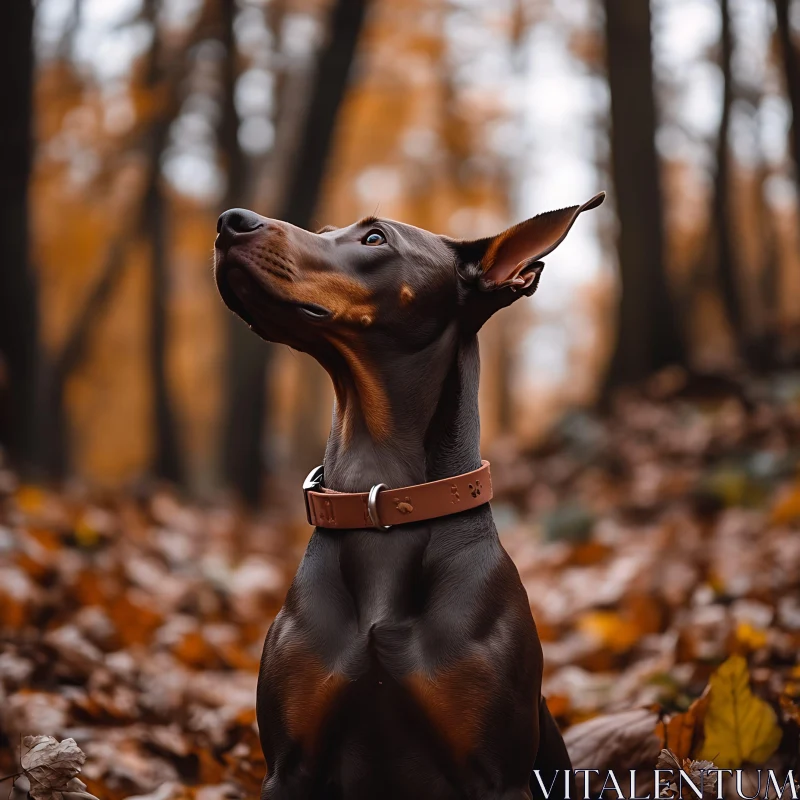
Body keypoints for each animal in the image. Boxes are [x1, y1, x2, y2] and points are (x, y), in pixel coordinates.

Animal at [216, 194, 604, 800]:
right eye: (325, 229)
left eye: (375, 239)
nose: (230, 220)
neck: (380, 500)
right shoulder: (289, 767)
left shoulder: (498, 776)